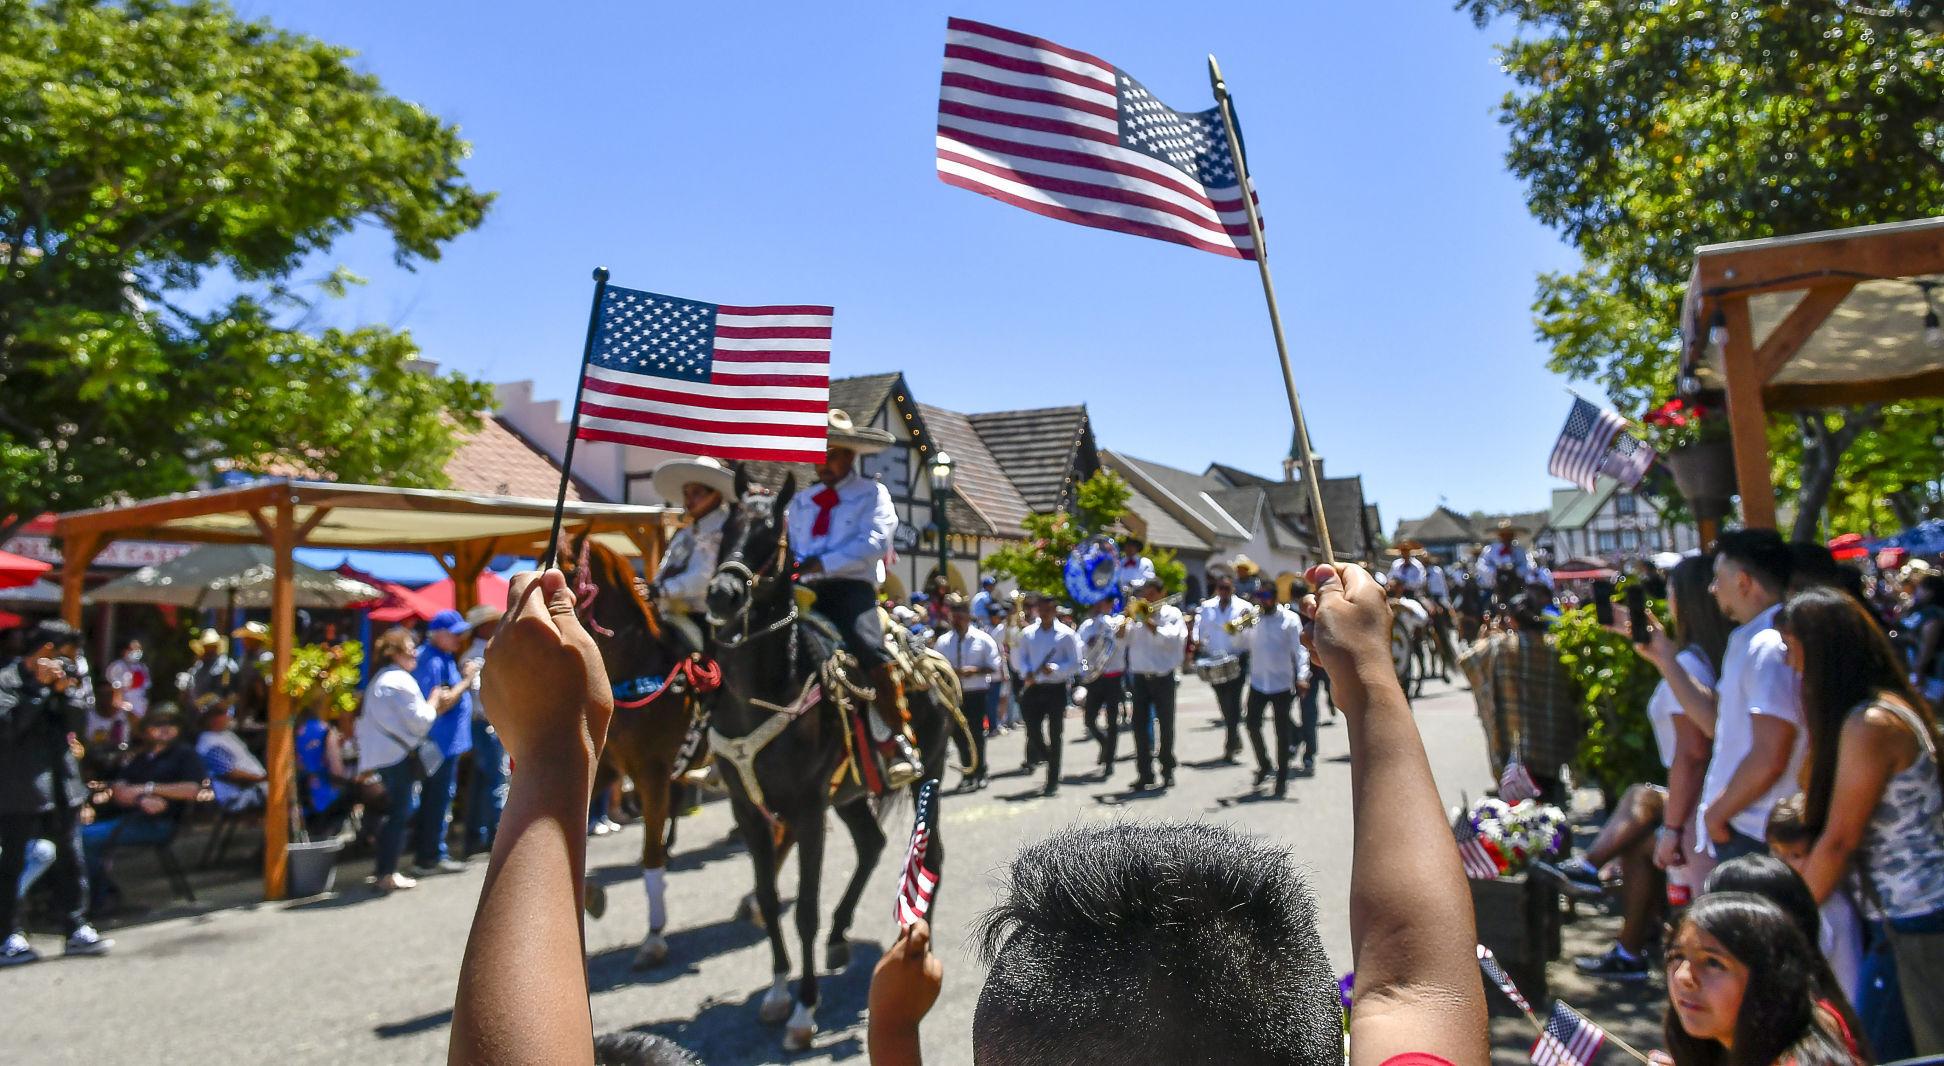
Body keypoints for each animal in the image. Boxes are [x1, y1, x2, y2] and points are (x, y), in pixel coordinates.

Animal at [559, 536, 719, 968]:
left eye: (566, 572)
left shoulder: (651, 773)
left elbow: (649, 853)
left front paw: (654, 935)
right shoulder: (607, 770)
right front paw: (590, 894)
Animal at [707, 472, 964, 1050]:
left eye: (771, 534)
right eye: (724, 529)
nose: (722, 594)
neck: (766, 690)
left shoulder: (806, 811)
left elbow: (803, 907)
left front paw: (804, 1008)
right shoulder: (748, 811)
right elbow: (767, 894)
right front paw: (779, 990)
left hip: (929, 774)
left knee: (930, 854)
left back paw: (914, 942)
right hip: (848, 793)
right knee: (872, 844)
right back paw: (843, 935)